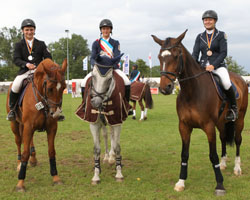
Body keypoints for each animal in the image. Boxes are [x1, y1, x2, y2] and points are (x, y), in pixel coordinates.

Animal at [6, 58, 67, 191]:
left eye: (64, 87)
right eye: (49, 88)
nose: (56, 114)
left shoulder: (51, 128)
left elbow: (51, 151)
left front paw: (56, 178)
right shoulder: (28, 126)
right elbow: (25, 153)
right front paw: (20, 184)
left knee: (30, 141)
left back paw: (33, 159)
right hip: (15, 124)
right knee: (18, 141)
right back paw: (19, 164)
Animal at [75, 54, 128, 184]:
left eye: (109, 79)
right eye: (93, 76)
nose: (95, 102)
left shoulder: (116, 120)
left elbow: (117, 147)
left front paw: (119, 173)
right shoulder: (93, 123)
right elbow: (96, 149)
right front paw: (96, 175)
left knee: (113, 136)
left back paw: (112, 158)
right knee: (105, 135)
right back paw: (107, 157)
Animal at [152, 30, 248, 195]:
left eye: (176, 56)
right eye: (159, 57)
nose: (165, 88)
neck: (192, 91)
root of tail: (239, 78)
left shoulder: (209, 127)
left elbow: (213, 155)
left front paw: (220, 185)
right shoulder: (184, 126)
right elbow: (184, 154)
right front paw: (181, 182)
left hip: (239, 119)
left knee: (237, 140)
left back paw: (237, 168)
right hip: (221, 122)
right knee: (224, 138)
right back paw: (224, 163)